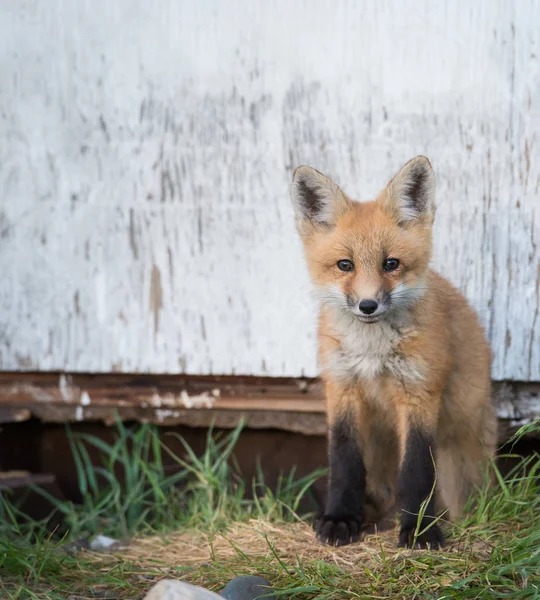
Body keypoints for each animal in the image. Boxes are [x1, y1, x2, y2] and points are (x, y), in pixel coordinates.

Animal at [292, 156, 498, 548]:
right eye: (345, 265)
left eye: (391, 264)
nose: (368, 305)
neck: (372, 352)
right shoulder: (342, 389)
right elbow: (344, 464)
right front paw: (339, 519)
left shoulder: (419, 394)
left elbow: (416, 472)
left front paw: (419, 530)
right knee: (382, 490)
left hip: (459, 461)